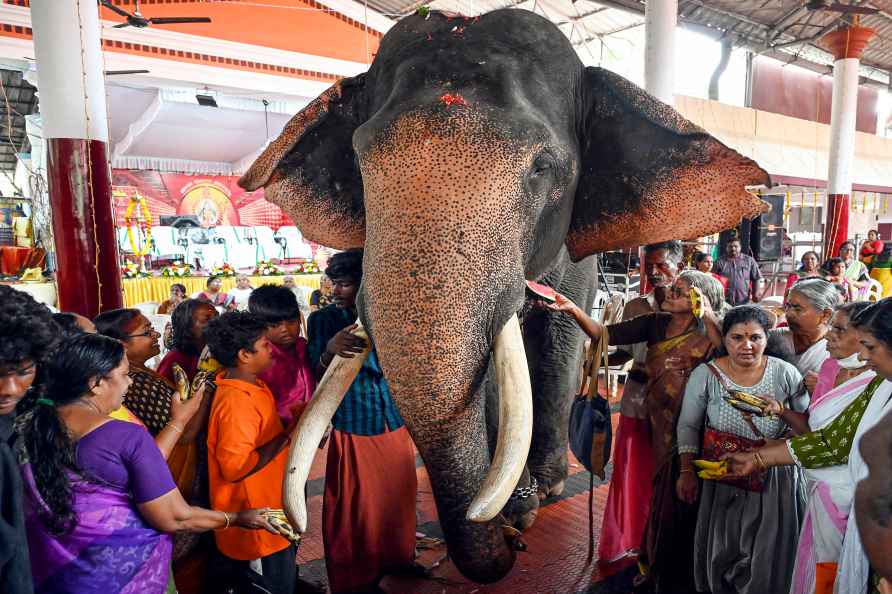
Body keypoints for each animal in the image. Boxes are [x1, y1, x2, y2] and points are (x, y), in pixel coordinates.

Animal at [240, 8, 772, 584]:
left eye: (542, 167)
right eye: (359, 164)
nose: (510, 542)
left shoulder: (576, 257)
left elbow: (559, 339)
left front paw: (540, 492)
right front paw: (518, 506)